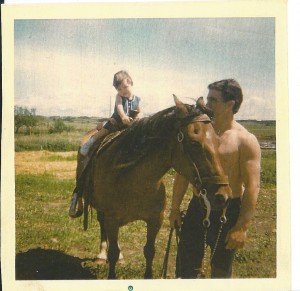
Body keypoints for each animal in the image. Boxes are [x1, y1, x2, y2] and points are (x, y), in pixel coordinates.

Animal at [77, 95, 230, 278]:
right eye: (194, 143)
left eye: (217, 140)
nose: (222, 195)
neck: (135, 181)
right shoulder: (112, 220)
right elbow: (113, 253)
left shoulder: (155, 220)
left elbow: (149, 251)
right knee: (102, 225)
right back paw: (101, 254)